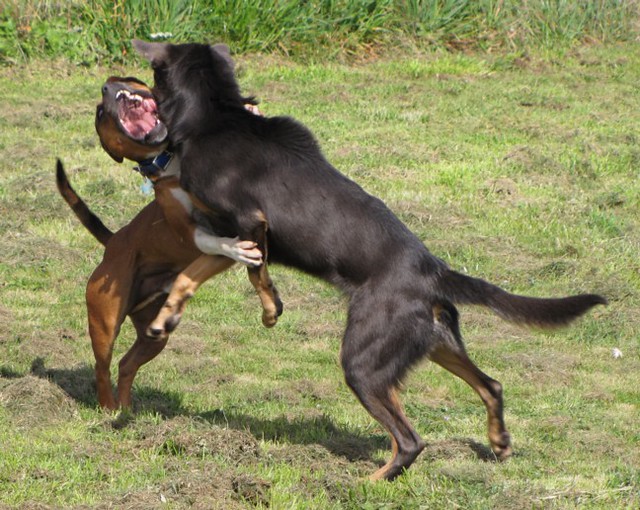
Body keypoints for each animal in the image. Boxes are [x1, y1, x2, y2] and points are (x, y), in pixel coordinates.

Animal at [57, 76, 280, 410]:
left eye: (123, 80)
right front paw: (237, 249)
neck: (171, 156)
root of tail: (112, 243)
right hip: (105, 322)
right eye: (99, 114)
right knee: (102, 366)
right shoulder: (188, 228)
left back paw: (127, 409)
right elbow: (215, 242)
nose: (107, 87)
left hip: (154, 336)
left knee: (127, 364)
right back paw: (108, 408)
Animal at [134, 38, 604, 478]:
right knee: (491, 385)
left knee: (411, 439)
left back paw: (371, 481)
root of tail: (434, 271)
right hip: (434, 342)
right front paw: (165, 319)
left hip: (363, 362)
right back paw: (499, 443)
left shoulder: (248, 221)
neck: (213, 116)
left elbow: (257, 276)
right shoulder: (227, 234)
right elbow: (189, 277)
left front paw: (271, 310)